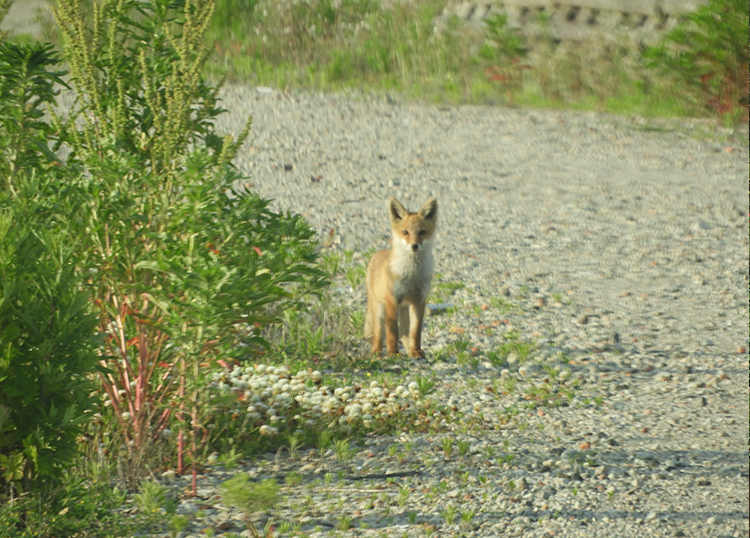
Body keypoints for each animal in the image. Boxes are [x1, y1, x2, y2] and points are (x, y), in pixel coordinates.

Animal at [366, 196, 438, 356]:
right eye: (405, 232)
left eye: (422, 232)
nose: (414, 246)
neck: (412, 275)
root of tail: (376, 254)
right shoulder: (392, 300)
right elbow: (392, 332)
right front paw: (393, 353)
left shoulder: (419, 300)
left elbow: (415, 332)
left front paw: (416, 350)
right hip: (379, 308)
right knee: (378, 332)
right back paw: (377, 352)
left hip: (404, 307)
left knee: (405, 333)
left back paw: (410, 350)